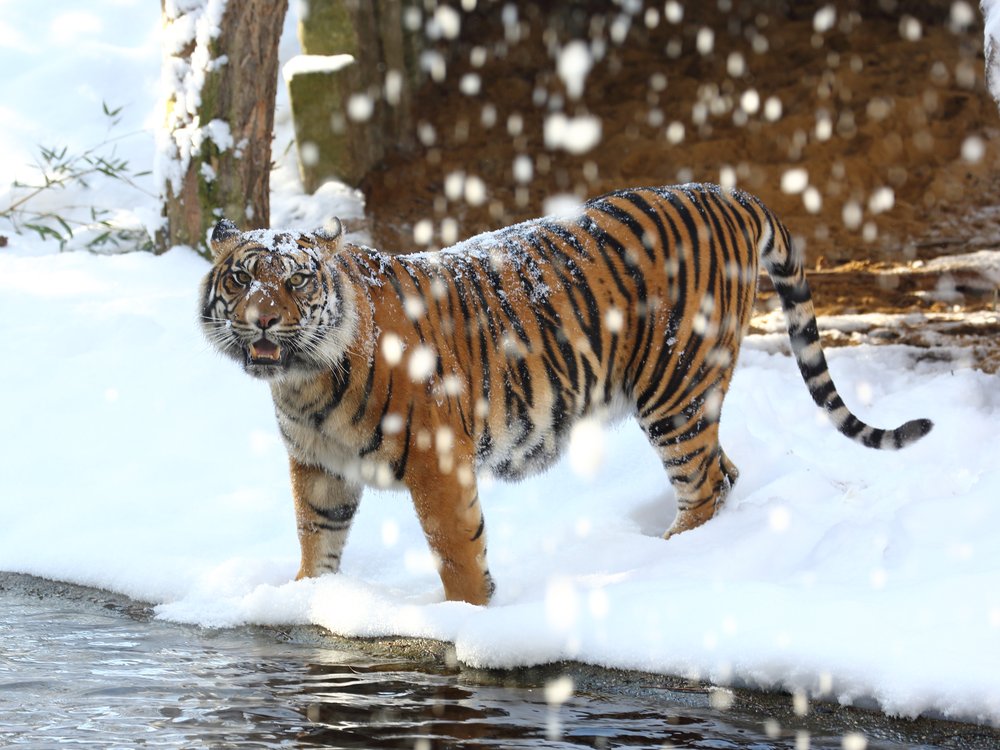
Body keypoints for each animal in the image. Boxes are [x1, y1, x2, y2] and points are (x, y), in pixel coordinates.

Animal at [200, 183, 932, 605]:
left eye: (294, 281)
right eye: (241, 279)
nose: (262, 319)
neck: (304, 378)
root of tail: (728, 194)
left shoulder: (437, 459)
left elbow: (457, 549)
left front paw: (469, 618)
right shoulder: (317, 464)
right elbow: (315, 537)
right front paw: (301, 601)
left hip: (675, 389)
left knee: (701, 483)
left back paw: (665, 562)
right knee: (724, 471)